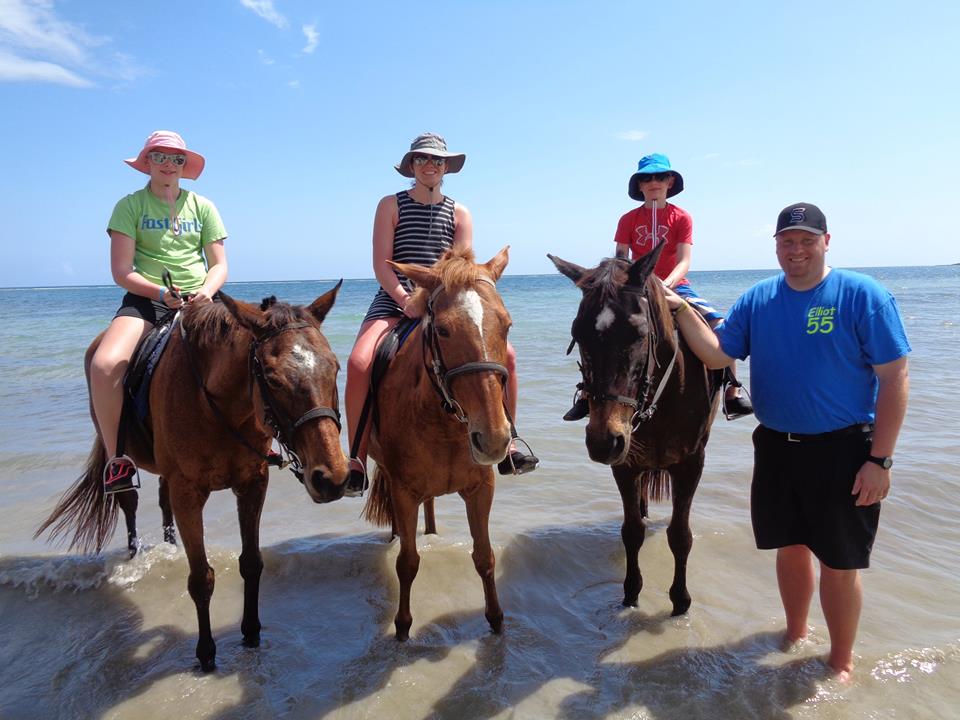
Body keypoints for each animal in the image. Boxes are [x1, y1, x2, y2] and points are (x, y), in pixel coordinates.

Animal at [36, 287, 349, 671]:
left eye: (335, 367)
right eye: (273, 378)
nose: (331, 478)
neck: (218, 406)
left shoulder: (252, 484)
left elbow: (252, 563)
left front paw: (251, 634)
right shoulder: (188, 493)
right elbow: (201, 579)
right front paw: (206, 654)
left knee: (161, 500)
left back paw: (170, 546)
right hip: (120, 456)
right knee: (129, 502)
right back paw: (134, 554)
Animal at [363, 247, 513, 641]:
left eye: (507, 325)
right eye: (443, 330)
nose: (494, 439)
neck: (444, 421)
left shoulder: (481, 487)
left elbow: (484, 556)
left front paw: (496, 620)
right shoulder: (403, 491)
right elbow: (407, 562)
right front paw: (402, 628)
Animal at [548, 249, 720, 616]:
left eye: (639, 334)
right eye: (578, 335)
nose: (603, 441)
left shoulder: (691, 464)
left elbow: (680, 535)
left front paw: (680, 601)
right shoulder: (625, 464)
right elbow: (632, 532)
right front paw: (630, 593)